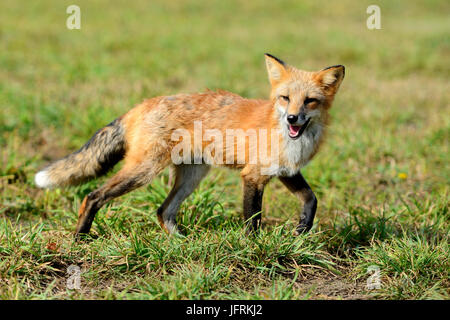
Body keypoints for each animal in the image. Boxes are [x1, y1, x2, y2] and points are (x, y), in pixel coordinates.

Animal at [35, 54, 344, 235]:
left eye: (310, 101)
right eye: (285, 98)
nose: (292, 118)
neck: (291, 139)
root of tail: (141, 105)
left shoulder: (285, 171)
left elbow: (311, 199)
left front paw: (302, 230)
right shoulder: (253, 176)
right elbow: (252, 219)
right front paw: (254, 248)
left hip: (192, 177)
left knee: (163, 211)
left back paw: (179, 244)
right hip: (144, 172)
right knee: (93, 196)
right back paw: (80, 237)